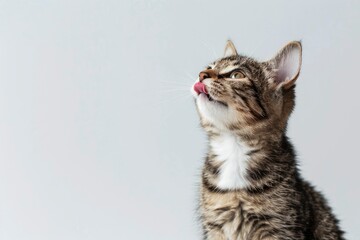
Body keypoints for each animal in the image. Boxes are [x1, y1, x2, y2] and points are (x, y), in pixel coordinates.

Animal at [193, 40, 344, 239]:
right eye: (209, 68)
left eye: (236, 75)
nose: (201, 75)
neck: (235, 149)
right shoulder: (214, 228)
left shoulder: (281, 227)